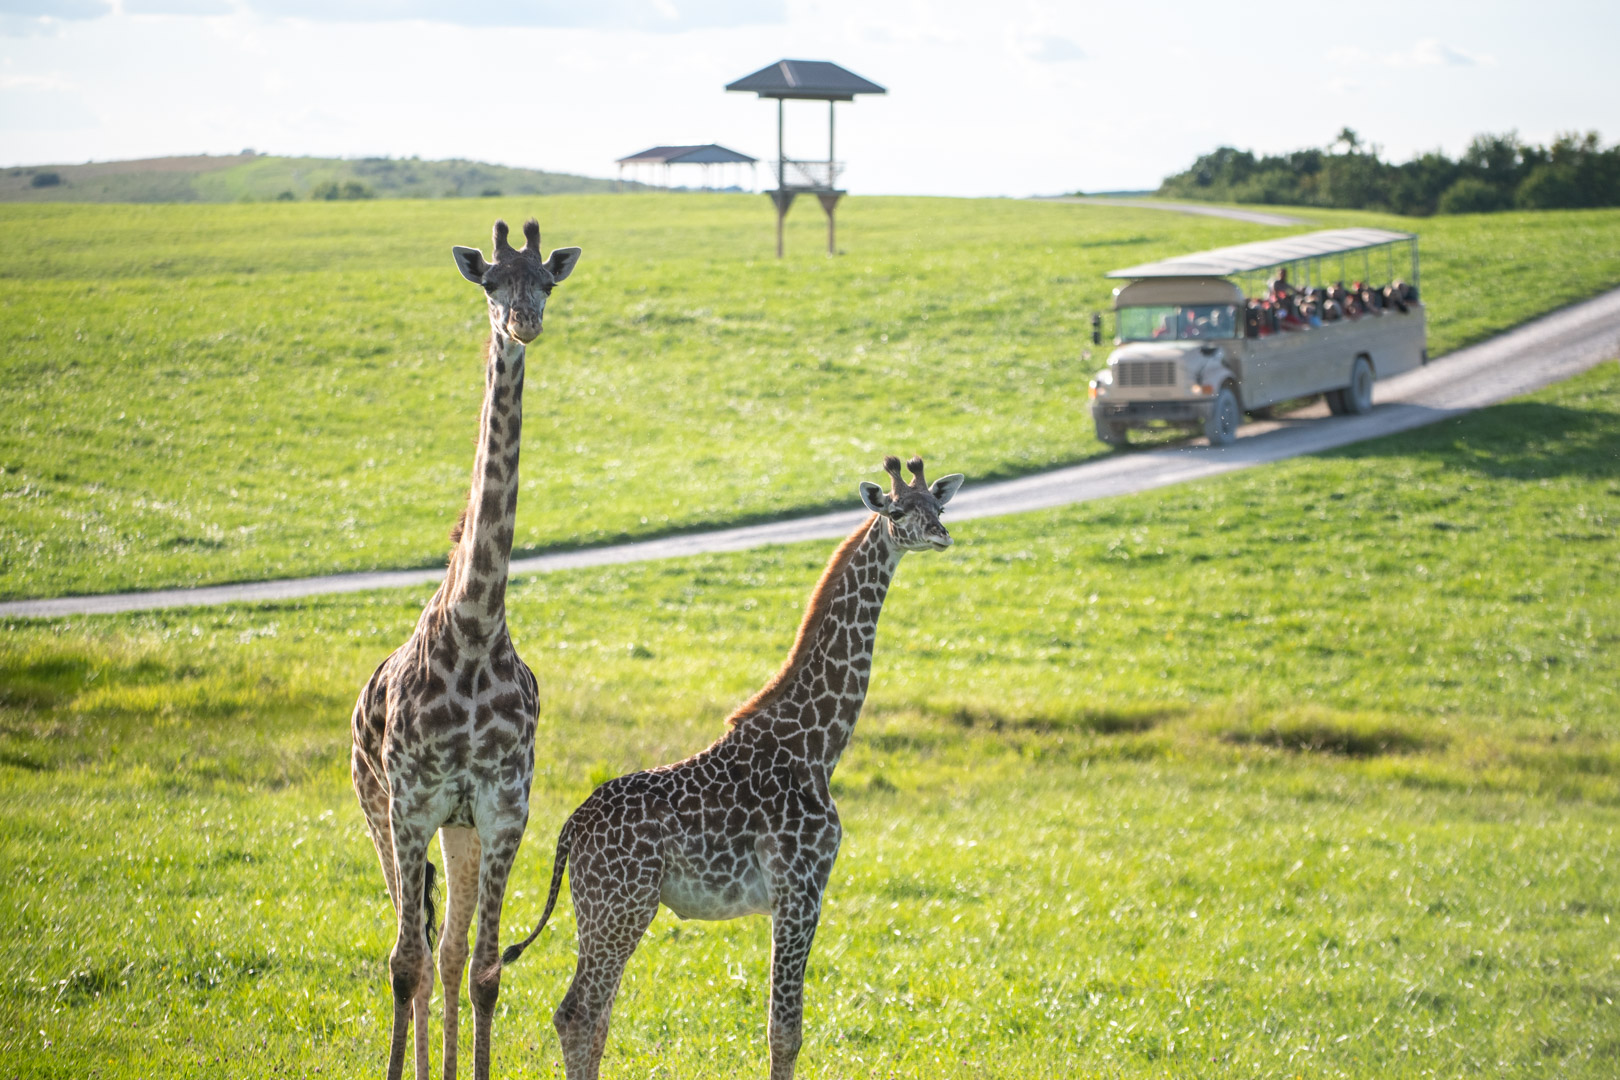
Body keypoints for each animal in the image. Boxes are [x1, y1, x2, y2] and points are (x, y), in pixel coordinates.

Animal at [349, 218, 581, 1080]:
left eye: (544, 282)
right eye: (490, 283)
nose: (523, 323)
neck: (476, 626)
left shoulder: (504, 805)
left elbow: (481, 969)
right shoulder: (411, 800)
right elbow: (402, 963)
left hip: (461, 830)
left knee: (446, 949)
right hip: (378, 809)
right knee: (412, 947)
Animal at [502, 455, 966, 1080]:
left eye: (936, 504)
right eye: (897, 512)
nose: (940, 534)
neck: (818, 746)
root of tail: (570, 829)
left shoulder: (793, 895)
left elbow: (781, 1026)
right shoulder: (800, 887)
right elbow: (785, 1031)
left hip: (600, 911)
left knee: (593, 1017)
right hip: (621, 906)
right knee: (577, 1012)